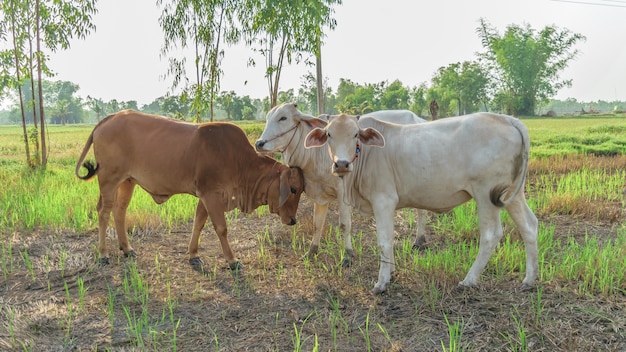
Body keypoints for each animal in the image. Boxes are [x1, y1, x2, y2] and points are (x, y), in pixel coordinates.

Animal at [74, 110, 304, 270]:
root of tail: (109, 118)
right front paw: (232, 260)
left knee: (119, 211)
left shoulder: (205, 196)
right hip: (109, 180)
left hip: (127, 181)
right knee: (103, 212)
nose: (293, 220)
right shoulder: (211, 195)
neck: (239, 161)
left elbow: (198, 224)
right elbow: (221, 228)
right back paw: (103, 254)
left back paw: (127, 249)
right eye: (293, 189)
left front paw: (193, 254)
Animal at [254, 103, 428, 266]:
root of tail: (420, 119)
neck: (315, 154)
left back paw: (419, 240)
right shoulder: (319, 195)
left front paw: (348, 255)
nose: (259, 143)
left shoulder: (343, 194)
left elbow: (344, 225)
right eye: (267, 118)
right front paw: (312, 251)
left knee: (421, 211)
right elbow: (317, 224)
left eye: (283, 118)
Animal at [302, 113, 536, 294]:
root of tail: (506, 118)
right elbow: (390, 240)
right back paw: (529, 280)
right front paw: (392, 272)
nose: (341, 164)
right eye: (329, 134)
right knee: (529, 226)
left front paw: (381, 282)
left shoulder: (383, 200)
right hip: (512, 194)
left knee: (491, 235)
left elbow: (383, 241)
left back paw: (468, 280)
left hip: (486, 195)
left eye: (356, 135)